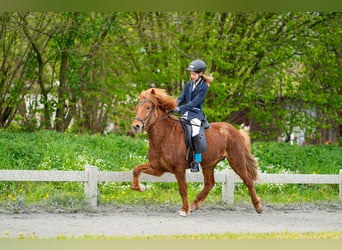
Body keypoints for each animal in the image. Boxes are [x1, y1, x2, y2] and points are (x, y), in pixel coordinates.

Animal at [131, 88, 262, 217]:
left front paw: (184, 210)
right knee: (209, 183)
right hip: (209, 164)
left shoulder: (179, 169)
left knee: (248, 181)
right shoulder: (158, 168)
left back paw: (258, 206)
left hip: (236, 161)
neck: (165, 136)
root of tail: (236, 131)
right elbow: (136, 169)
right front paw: (140, 187)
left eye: (148, 107)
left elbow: (183, 189)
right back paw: (195, 204)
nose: (136, 126)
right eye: (137, 107)